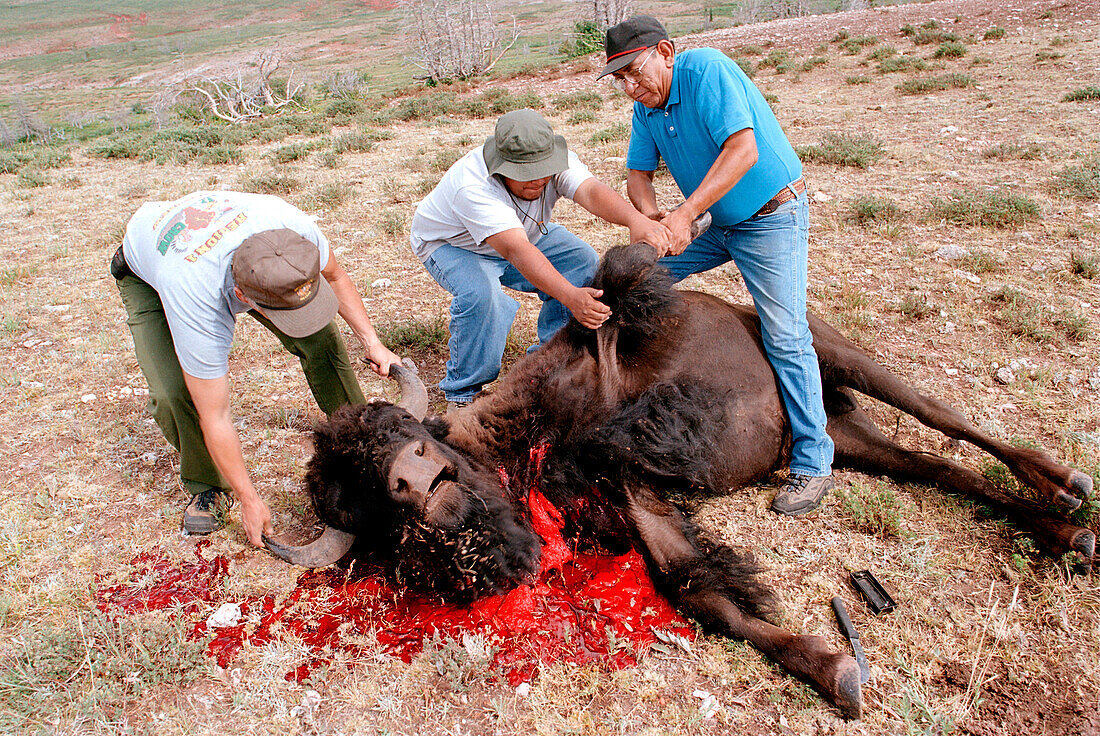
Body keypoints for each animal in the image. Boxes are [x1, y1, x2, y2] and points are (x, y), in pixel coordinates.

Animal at [259, 242, 1091, 717]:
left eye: (403, 436)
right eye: (362, 504)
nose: (414, 484)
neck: (515, 432)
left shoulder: (626, 422)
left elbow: (623, 410)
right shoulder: (639, 508)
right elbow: (699, 589)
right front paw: (835, 673)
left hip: (839, 356)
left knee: (946, 419)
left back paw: (1066, 488)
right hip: (846, 439)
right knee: (932, 464)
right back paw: (1064, 533)